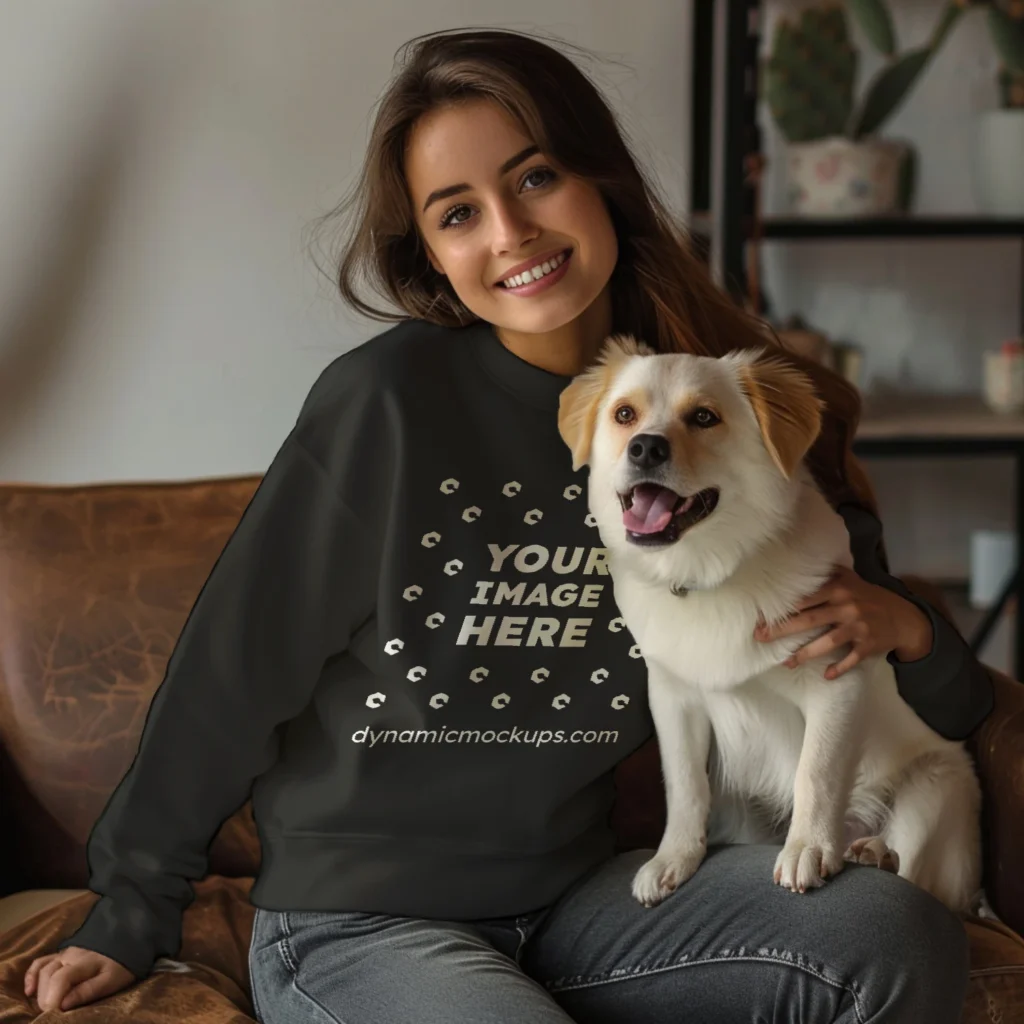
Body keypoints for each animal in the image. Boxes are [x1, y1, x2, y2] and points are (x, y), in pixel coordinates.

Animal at [561, 333, 983, 913]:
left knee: (917, 871)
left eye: (704, 417)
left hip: (935, 788)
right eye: (625, 414)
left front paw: (809, 848)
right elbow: (684, 785)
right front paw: (674, 858)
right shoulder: (673, 699)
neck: (711, 573)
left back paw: (872, 852)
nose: (645, 447)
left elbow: (816, 774)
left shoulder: (835, 681)